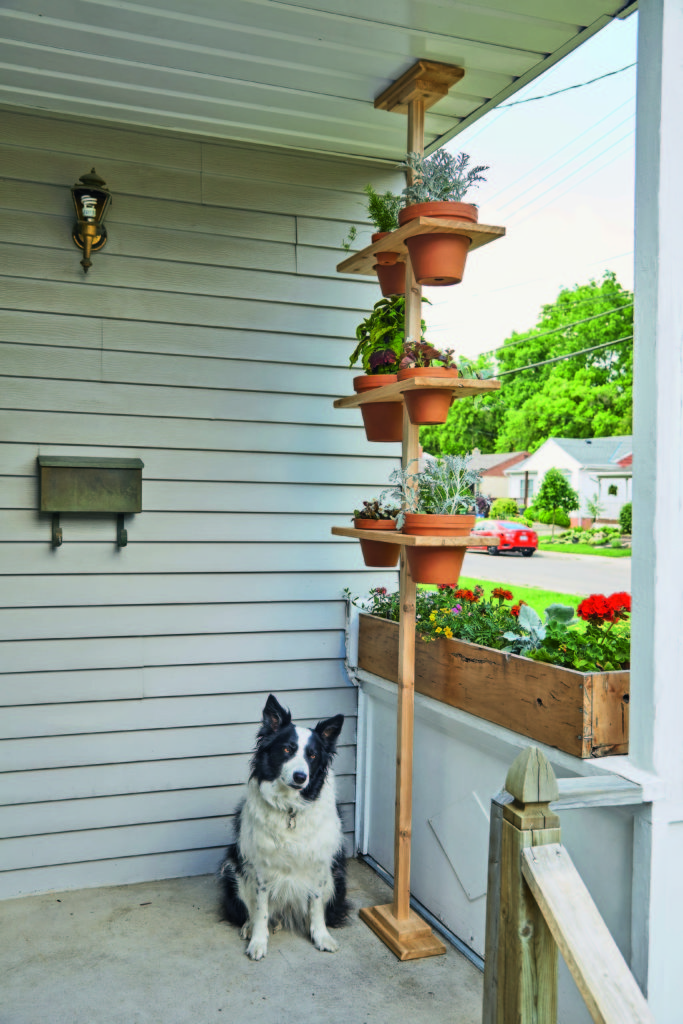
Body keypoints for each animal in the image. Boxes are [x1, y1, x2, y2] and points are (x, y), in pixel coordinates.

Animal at [218, 696, 348, 958]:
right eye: (287, 749)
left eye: (312, 756)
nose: (300, 777)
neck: (291, 809)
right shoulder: (260, 866)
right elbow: (261, 909)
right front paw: (258, 941)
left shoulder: (320, 864)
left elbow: (316, 905)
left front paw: (321, 936)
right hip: (233, 871)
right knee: (251, 909)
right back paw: (250, 927)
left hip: (337, 877)